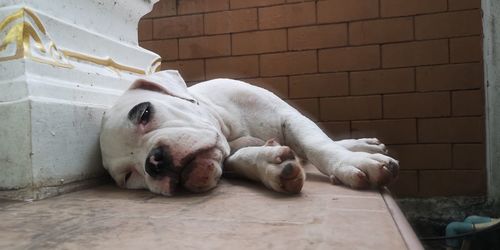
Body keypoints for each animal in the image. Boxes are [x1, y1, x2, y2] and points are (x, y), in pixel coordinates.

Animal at [100, 70, 398, 195]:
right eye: (128, 176)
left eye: (144, 113)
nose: (154, 162)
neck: (228, 125)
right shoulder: (229, 156)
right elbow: (241, 158)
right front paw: (268, 164)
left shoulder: (288, 117)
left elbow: (317, 144)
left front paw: (352, 162)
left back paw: (362, 146)